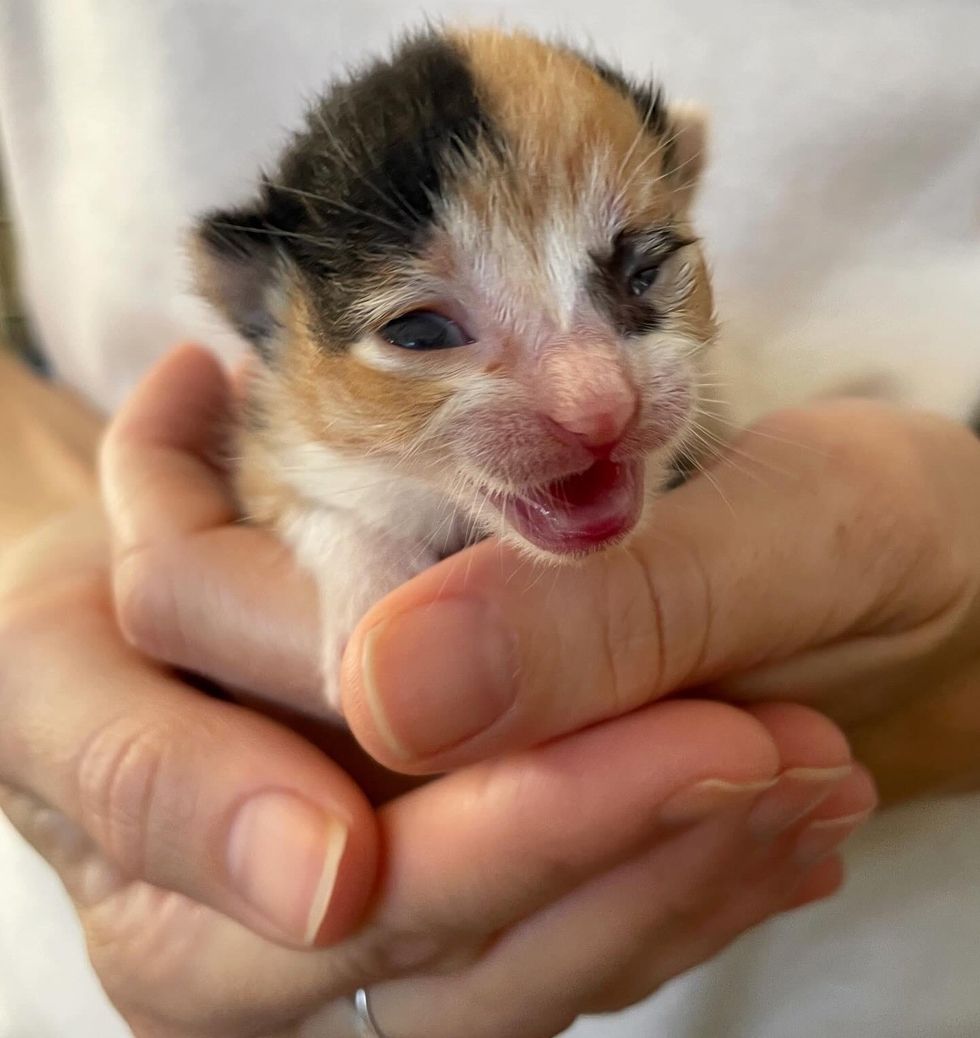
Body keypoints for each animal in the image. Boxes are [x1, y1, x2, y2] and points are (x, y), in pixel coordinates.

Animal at [191, 28, 718, 718]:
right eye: (419, 333)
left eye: (644, 274)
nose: (601, 408)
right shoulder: (274, 440)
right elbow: (303, 499)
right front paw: (371, 591)